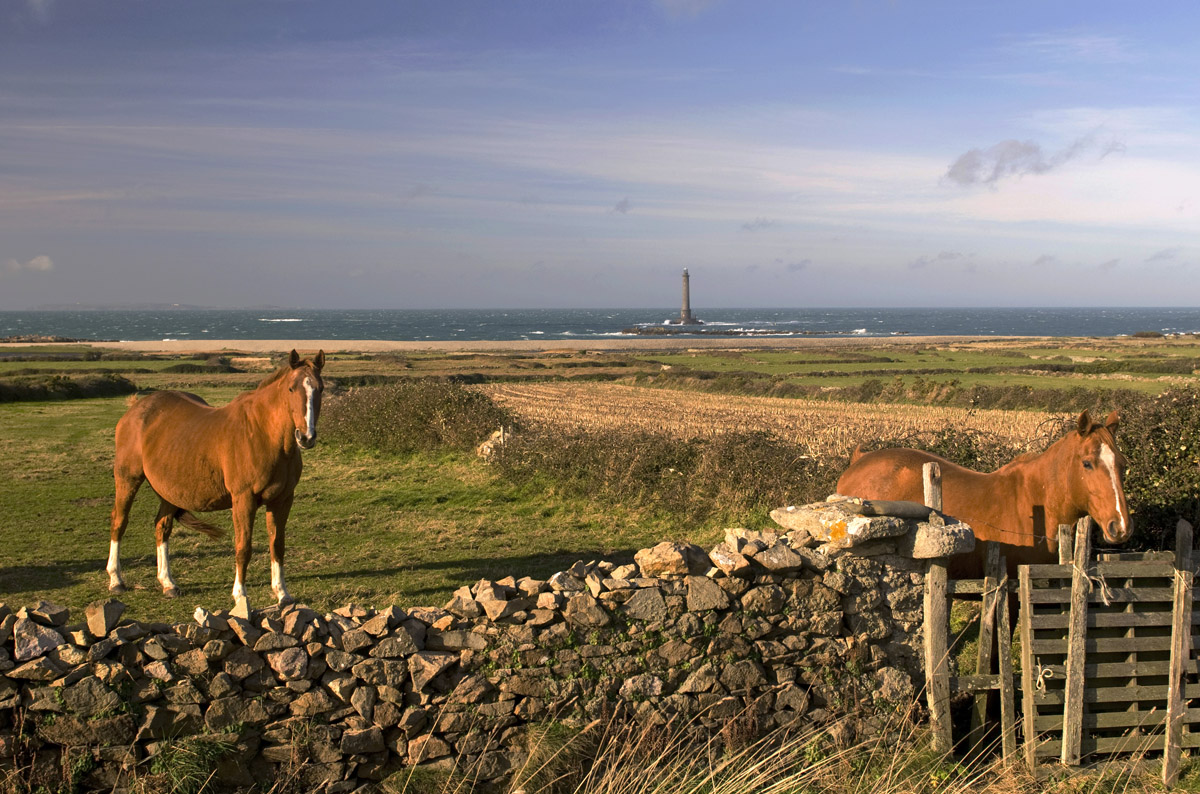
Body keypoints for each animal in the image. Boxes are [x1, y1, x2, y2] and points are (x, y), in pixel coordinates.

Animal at [105, 352, 324, 606]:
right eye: (291, 388)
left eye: (320, 388)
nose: (306, 437)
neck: (264, 434)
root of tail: (136, 409)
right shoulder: (243, 500)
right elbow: (243, 547)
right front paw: (240, 594)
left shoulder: (282, 500)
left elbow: (277, 545)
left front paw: (282, 594)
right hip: (128, 480)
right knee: (119, 522)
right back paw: (116, 580)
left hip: (170, 491)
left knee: (162, 527)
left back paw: (168, 583)